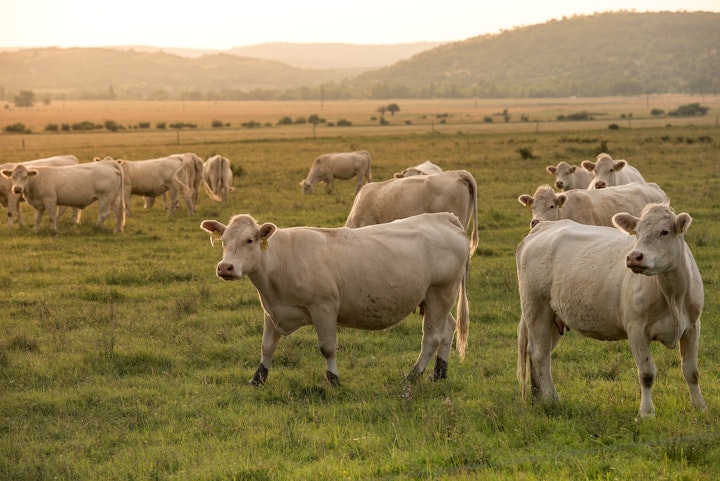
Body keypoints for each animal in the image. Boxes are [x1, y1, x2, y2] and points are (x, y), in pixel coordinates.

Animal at [201, 212, 472, 384]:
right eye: (223, 241)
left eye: (249, 240)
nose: (225, 267)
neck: (281, 260)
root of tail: (444, 218)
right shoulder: (272, 311)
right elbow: (267, 347)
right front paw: (257, 379)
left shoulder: (324, 308)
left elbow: (328, 348)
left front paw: (333, 379)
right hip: (436, 298)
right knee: (447, 330)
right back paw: (439, 374)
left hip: (440, 292)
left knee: (431, 338)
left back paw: (412, 377)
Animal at [516, 204, 708, 418]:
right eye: (637, 232)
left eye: (664, 231)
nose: (634, 256)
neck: (673, 294)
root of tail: (543, 227)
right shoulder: (636, 330)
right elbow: (647, 373)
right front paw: (646, 413)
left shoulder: (692, 327)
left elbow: (691, 371)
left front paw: (700, 406)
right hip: (536, 307)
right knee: (540, 354)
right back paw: (552, 399)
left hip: (552, 317)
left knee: (537, 352)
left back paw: (538, 398)